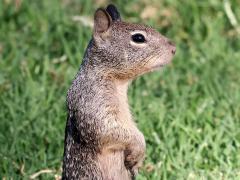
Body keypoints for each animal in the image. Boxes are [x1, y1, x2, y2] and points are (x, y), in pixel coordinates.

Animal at [62, 4, 175, 180]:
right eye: (138, 38)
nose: (173, 49)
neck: (117, 83)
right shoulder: (93, 105)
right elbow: (111, 131)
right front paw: (139, 149)